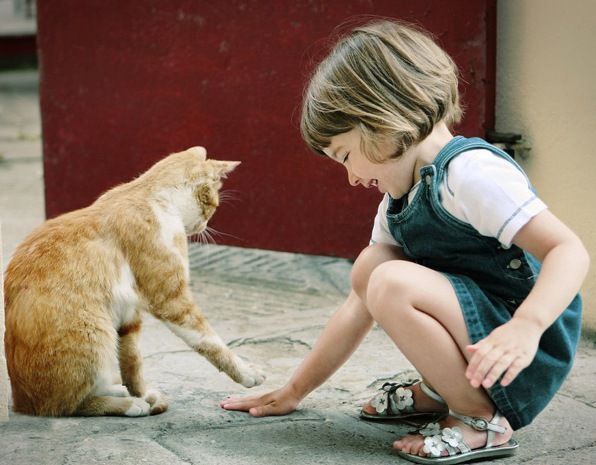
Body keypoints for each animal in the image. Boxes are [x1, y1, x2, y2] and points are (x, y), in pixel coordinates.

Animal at [2, 147, 264, 416]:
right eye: (214, 205)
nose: (205, 225)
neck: (153, 198)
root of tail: (22, 403)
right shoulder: (171, 300)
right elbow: (210, 341)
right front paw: (246, 373)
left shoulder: (129, 312)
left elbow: (132, 361)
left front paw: (142, 392)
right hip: (96, 332)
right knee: (68, 405)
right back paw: (126, 404)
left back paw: (120, 391)